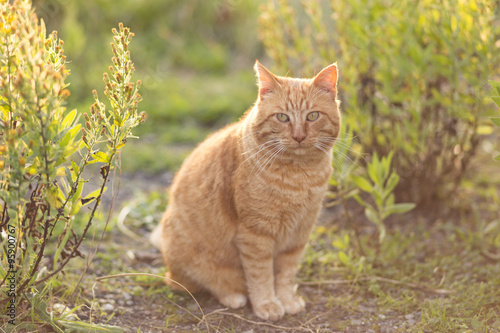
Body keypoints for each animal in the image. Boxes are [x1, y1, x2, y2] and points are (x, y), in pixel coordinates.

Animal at [150, 59, 340, 320]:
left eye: (312, 116)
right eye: (282, 117)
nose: (299, 136)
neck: (299, 176)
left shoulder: (299, 233)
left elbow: (286, 273)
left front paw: (287, 299)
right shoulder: (255, 234)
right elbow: (261, 275)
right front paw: (267, 304)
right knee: (194, 283)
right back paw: (233, 296)